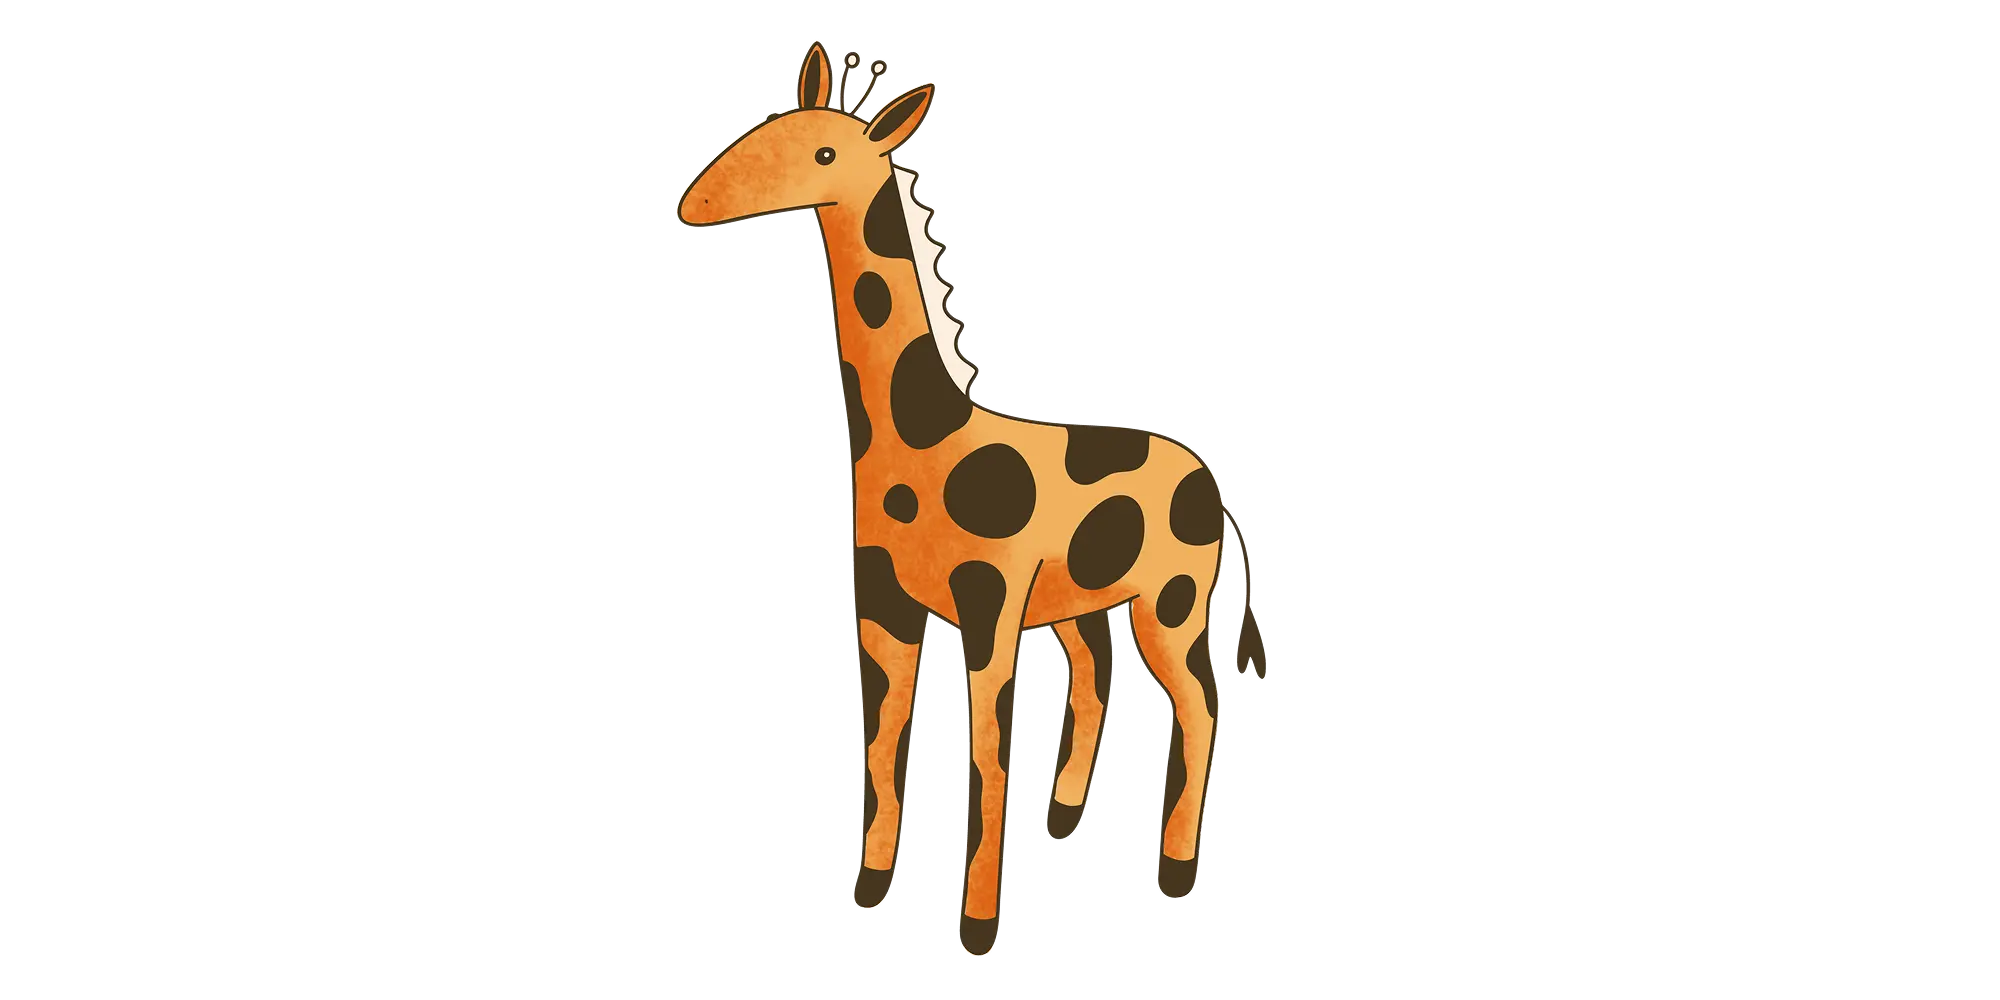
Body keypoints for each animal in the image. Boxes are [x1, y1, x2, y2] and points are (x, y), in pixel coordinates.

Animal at [676, 42, 1270, 957]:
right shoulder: (882, 605)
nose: (692, 203)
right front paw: (871, 887)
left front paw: (979, 923)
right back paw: (1064, 817)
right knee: (1095, 691)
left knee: (1200, 711)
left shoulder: (988, 610)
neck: (924, 445)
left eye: (822, 153)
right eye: (765, 131)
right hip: (1079, 606)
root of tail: (1212, 489)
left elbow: (986, 752)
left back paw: (1176, 872)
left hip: (1172, 604)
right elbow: (883, 740)